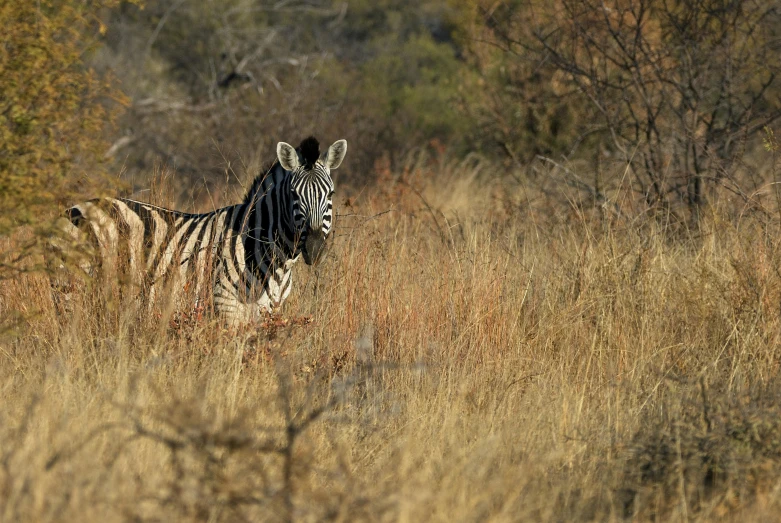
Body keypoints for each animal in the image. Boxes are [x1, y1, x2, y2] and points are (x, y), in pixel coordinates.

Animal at [53, 136, 346, 324]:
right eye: (294, 195)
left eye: (331, 194)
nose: (315, 249)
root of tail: (73, 209)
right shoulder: (226, 304)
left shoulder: (269, 310)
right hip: (72, 287)